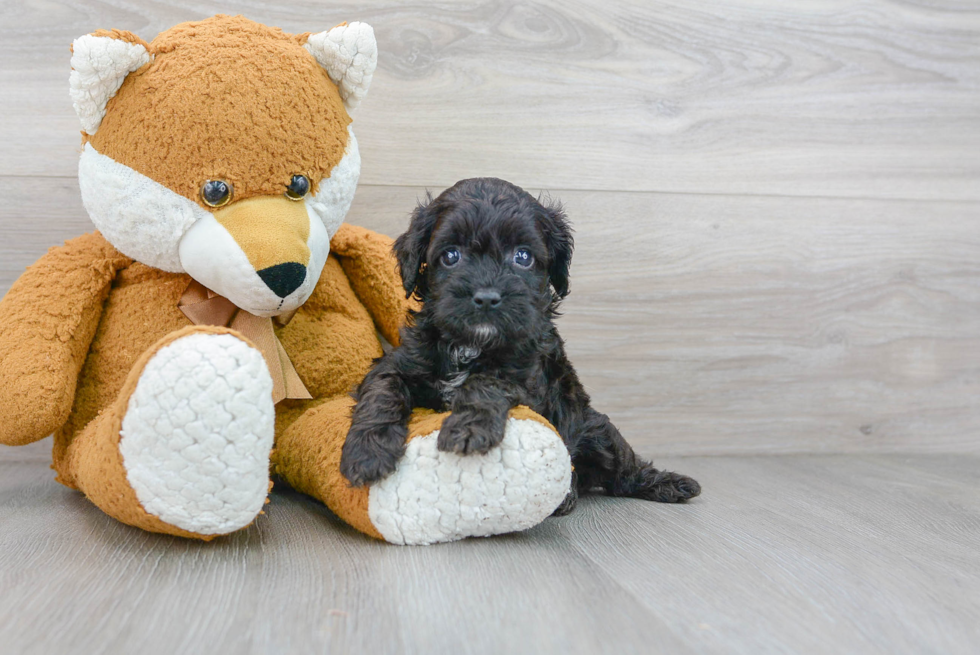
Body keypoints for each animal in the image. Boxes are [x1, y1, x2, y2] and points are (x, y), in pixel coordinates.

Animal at [340, 178, 700, 512]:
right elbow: (383, 391)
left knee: (624, 470)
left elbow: (486, 382)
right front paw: (367, 452)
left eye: (523, 257)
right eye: (451, 255)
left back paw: (668, 484)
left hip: (596, 428)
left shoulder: (530, 380)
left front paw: (467, 429)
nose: (486, 297)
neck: (472, 345)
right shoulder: (399, 363)